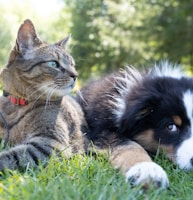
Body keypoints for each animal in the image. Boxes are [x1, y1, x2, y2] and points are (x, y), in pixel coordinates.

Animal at [0, 19, 87, 171]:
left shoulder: (50, 142)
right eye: (53, 63)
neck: (17, 104)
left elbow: (11, 156)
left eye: (72, 65)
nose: (75, 75)